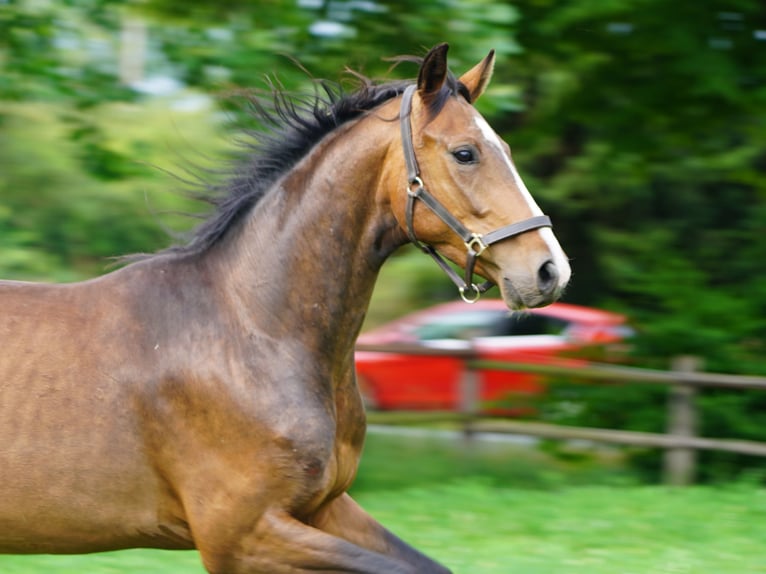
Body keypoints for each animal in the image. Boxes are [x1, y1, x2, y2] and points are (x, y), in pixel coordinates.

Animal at [0, 42, 568, 572]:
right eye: (465, 153)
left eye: (506, 148)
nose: (549, 270)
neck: (255, 329)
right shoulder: (241, 536)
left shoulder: (322, 507)